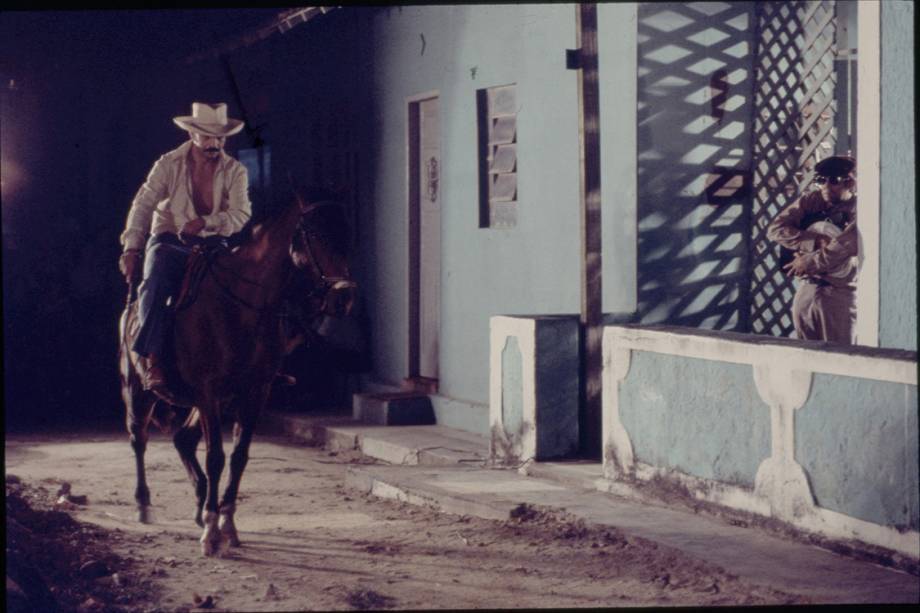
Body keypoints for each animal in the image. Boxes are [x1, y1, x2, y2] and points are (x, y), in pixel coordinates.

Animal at [118, 190, 356, 556]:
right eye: (316, 235)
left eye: (349, 238)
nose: (344, 296)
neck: (240, 305)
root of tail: (129, 309)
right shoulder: (208, 390)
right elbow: (216, 456)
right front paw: (212, 533)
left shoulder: (253, 392)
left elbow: (239, 456)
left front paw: (225, 522)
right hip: (138, 392)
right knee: (139, 440)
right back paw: (145, 504)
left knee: (183, 439)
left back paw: (201, 504)